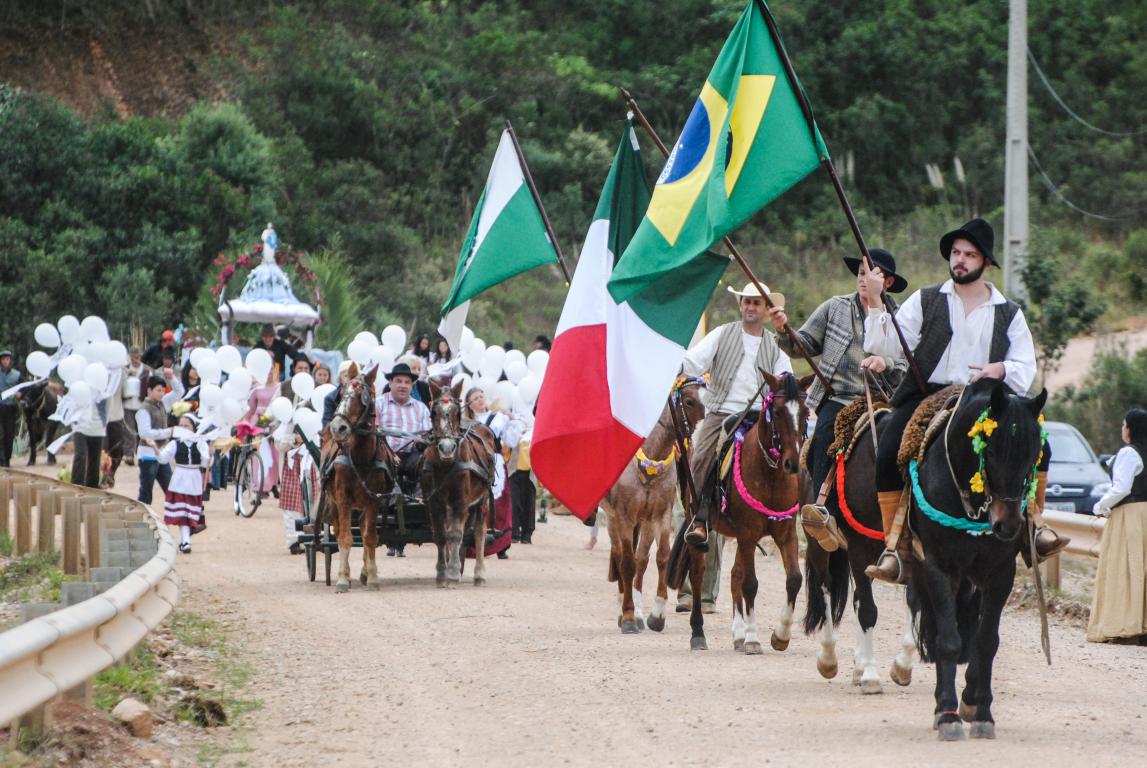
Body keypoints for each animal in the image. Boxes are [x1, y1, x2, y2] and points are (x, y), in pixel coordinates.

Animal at [325, 363, 396, 593]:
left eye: (361, 396)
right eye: (341, 394)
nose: (337, 427)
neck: (361, 458)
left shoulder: (373, 499)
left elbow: (370, 537)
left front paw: (372, 577)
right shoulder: (343, 498)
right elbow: (345, 538)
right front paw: (342, 579)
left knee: (365, 533)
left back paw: (365, 572)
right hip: (334, 503)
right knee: (339, 531)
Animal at [421, 380, 497, 587]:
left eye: (457, 413)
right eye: (433, 412)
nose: (447, 448)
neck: (446, 464)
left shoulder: (461, 500)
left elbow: (456, 534)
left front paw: (453, 573)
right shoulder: (434, 501)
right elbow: (441, 535)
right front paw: (442, 573)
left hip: (481, 499)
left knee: (478, 532)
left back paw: (479, 574)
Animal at [602, 376, 705, 634]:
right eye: (689, 401)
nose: (695, 442)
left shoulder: (659, 515)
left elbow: (660, 557)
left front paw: (657, 614)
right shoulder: (624, 516)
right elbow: (626, 562)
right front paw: (628, 616)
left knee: (641, 559)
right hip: (614, 520)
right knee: (620, 556)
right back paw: (625, 608)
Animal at [802, 399, 918, 694]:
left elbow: (913, 604)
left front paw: (901, 667)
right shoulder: (858, 547)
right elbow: (867, 609)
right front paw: (871, 677)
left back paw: (857, 665)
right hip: (821, 545)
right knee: (827, 587)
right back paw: (829, 659)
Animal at [904, 378, 1047, 740]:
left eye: (1033, 455)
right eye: (991, 451)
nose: (1007, 526)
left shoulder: (1000, 573)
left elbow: (985, 642)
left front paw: (982, 712)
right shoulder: (939, 567)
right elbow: (948, 640)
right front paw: (947, 715)